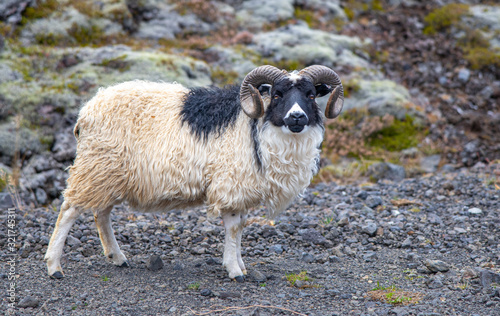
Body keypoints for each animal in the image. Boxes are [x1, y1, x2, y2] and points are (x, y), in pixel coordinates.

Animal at [45, 64, 344, 282]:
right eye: (278, 94)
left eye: (311, 95)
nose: (297, 117)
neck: (259, 127)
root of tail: (86, 111)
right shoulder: (230, 183)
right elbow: (233, 228)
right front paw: (234, 271)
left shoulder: (242, 187)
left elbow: (240, 228)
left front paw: (242, 265)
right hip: (95, 166)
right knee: (69, 210)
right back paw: (54, 267)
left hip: (109, 174)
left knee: (101, 213)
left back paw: (117, 257)